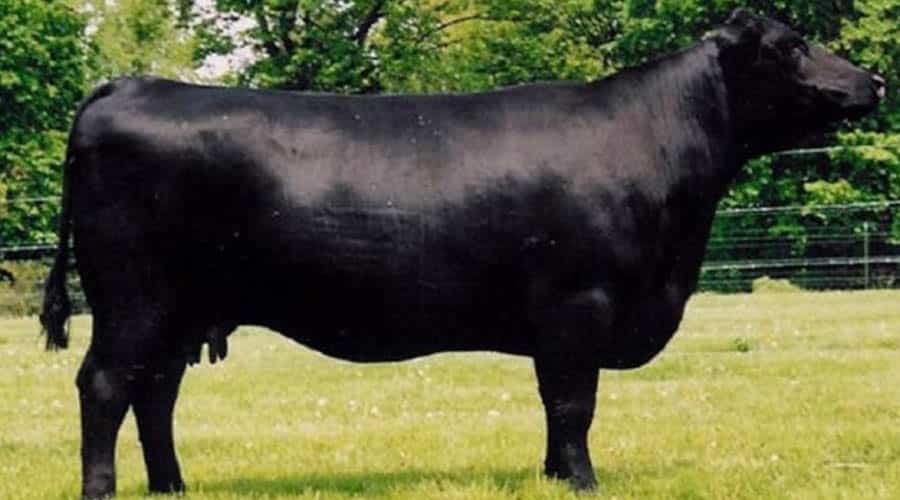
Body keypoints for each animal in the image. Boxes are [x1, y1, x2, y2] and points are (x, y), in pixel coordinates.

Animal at [41, 9, 883, 498]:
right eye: (791, 45)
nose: (873, 79)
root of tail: (129, 85)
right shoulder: (579, 304)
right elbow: (574, 403)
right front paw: (583, 483)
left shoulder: (561, 323)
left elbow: (554, 402)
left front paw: (551, 477)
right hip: (133, 296)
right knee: (106, 386)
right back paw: (104, 491)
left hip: (182, 309)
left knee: (156, 392)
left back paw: (173, 488)